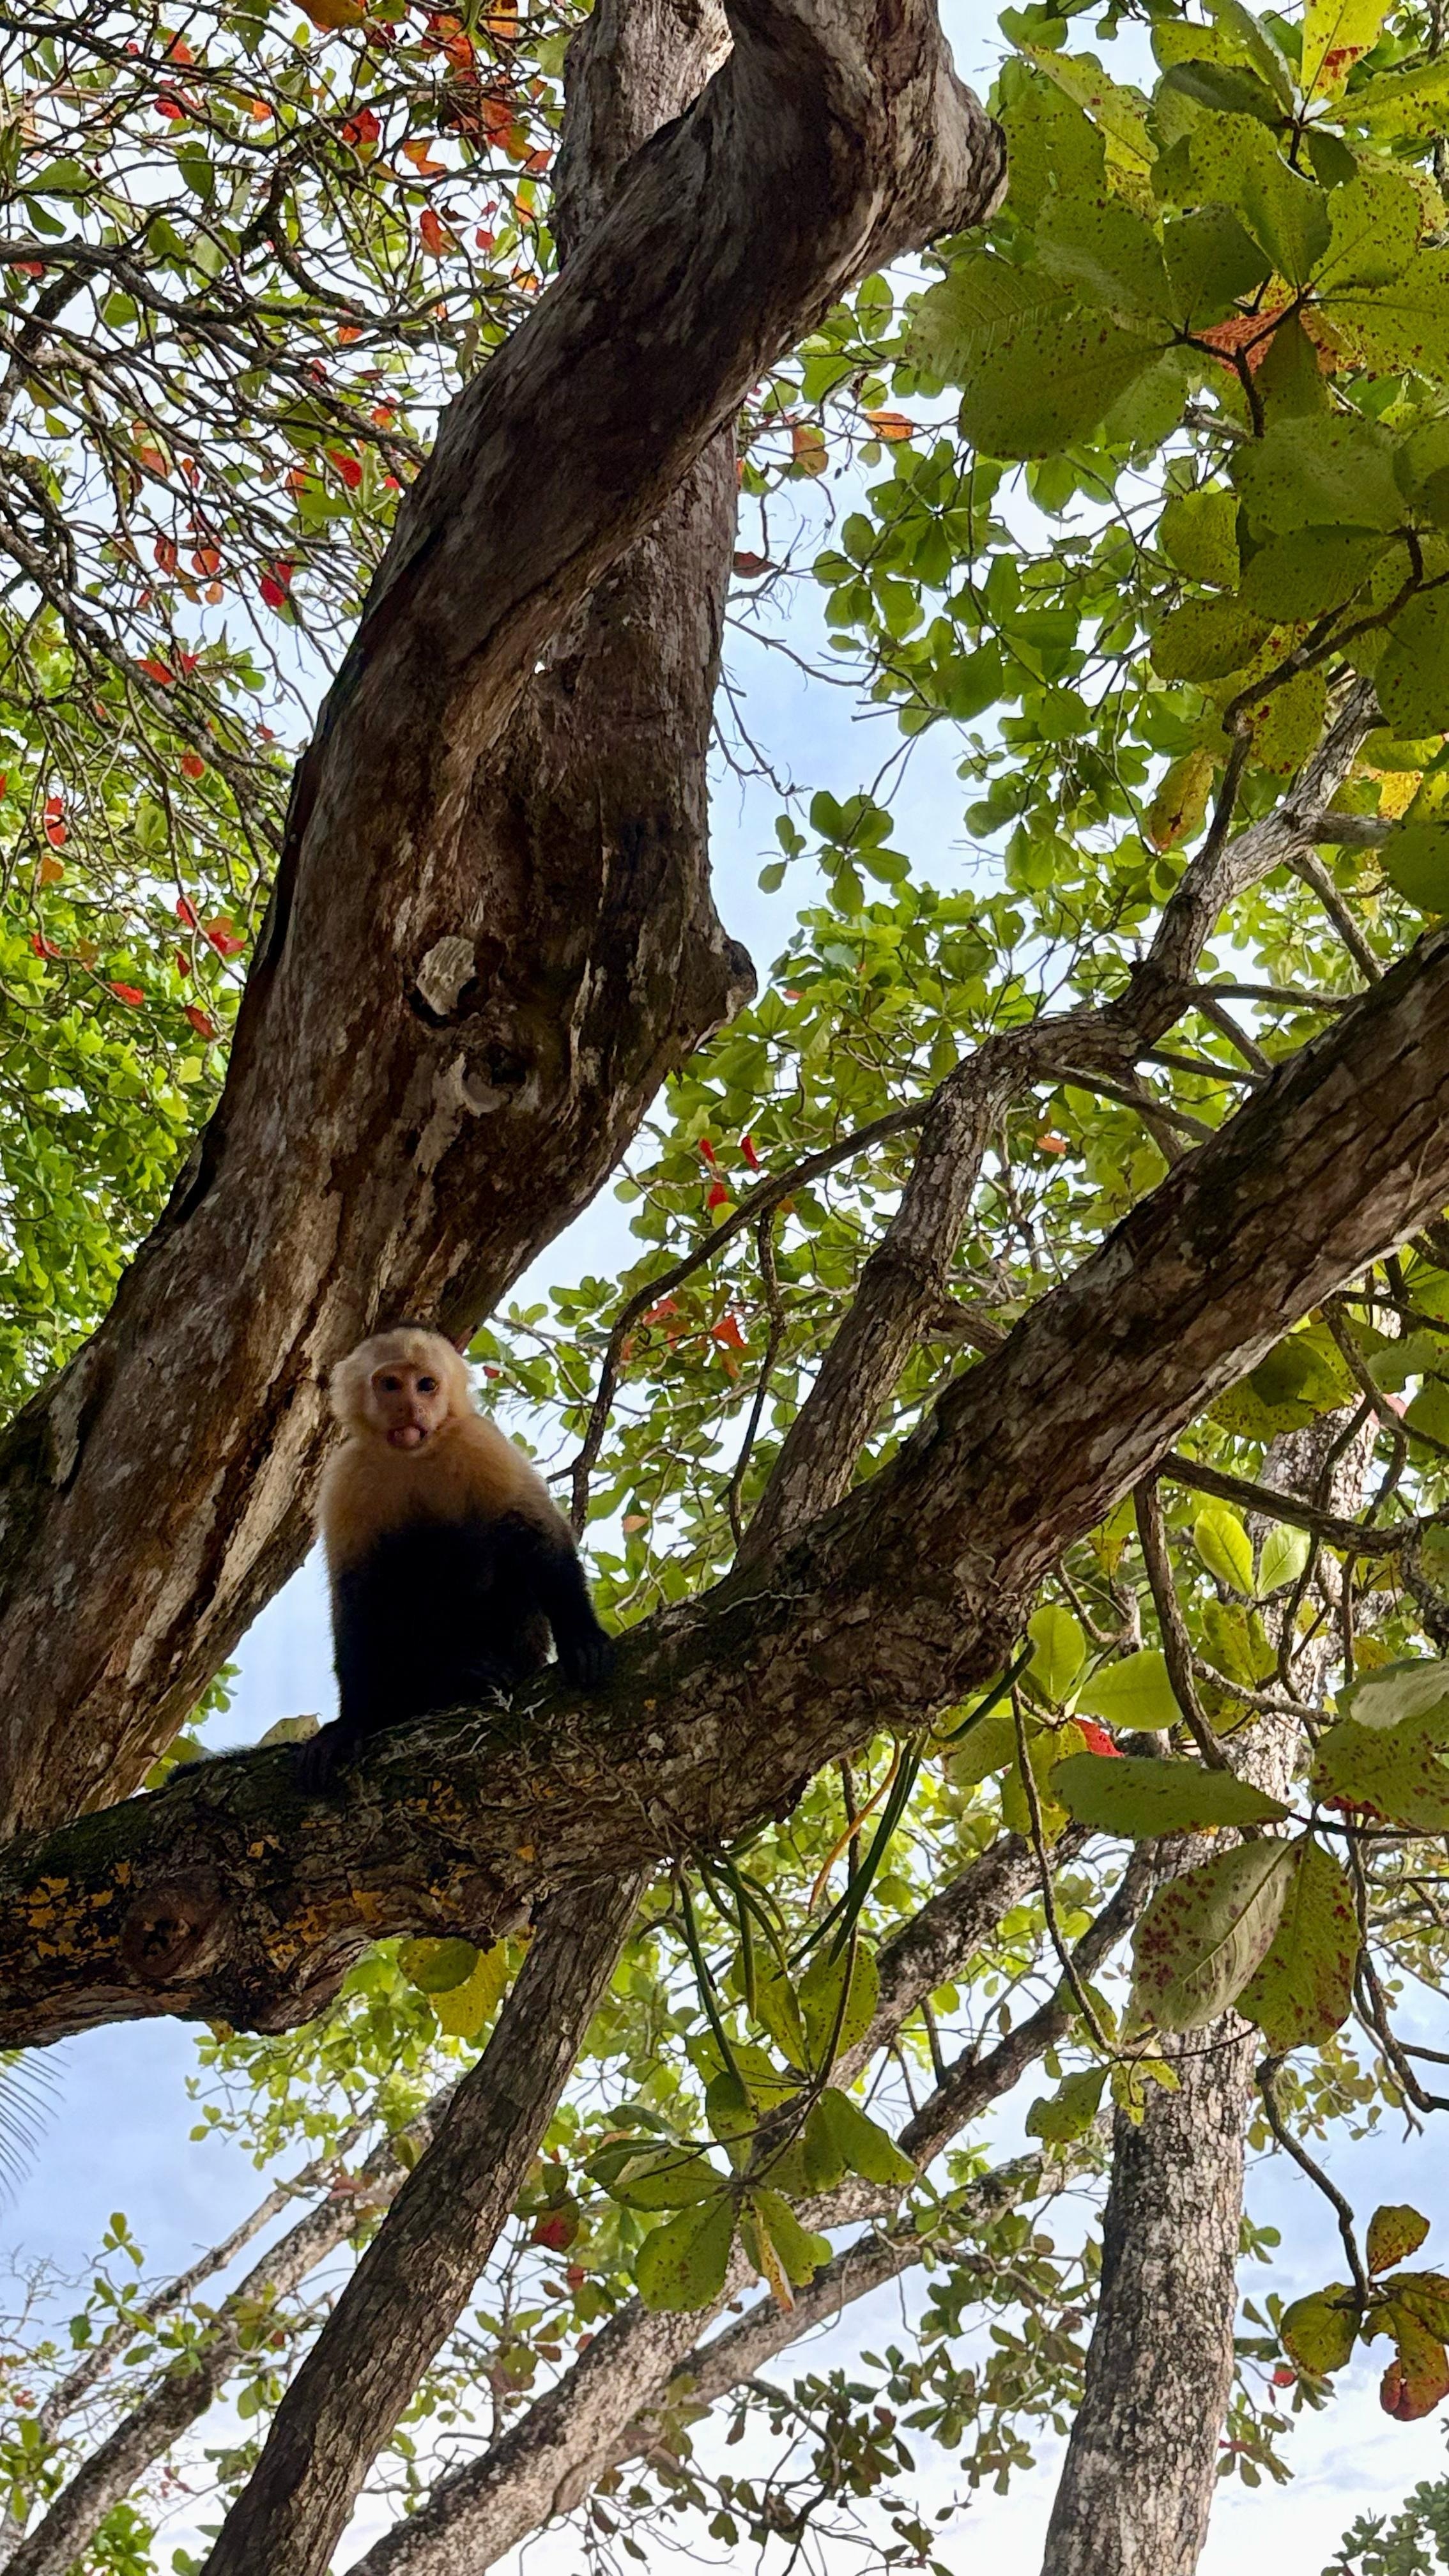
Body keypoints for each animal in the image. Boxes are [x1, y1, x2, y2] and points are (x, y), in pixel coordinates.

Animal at [295, 1324, 613, 1795]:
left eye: (427, 1385)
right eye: (391, 1385)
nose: (411, 1408)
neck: (414, 1458)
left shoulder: (479, 1443)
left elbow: (537, 1533)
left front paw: (582, 1637)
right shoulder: (348, 1475)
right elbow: (357, 1596)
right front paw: (353, 1721)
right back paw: (442, 1682)